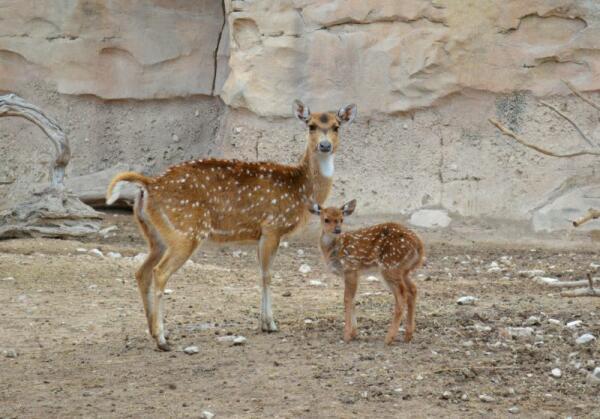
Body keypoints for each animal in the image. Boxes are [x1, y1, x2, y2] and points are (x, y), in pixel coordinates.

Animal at [106, 100, 356, 350]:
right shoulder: (273, 226)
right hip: (186, 232)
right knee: (160, 272)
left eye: (336, 126)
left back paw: (152, 331)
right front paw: (270, 324)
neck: (300, 188)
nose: (325, 145)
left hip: (156, 236)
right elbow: (267, 275)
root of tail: (149, 185)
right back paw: (162, 339)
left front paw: (264, 323)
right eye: (311, 125)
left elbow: (261, 273)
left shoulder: (261, 234)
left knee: (142, 272)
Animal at [312, 200, 424, 344]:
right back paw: (408, 335)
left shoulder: (351, 268)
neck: (333, 249)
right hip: (403, 270)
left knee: (401, 295)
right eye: (326, 219)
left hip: (390, 266)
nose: (337, 230)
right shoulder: (352, 273)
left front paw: (347, 335)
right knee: (413, 289)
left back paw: (389, 338)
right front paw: (354, 333)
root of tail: (419, 246)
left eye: (341, 219)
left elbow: (347, 299)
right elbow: (353, 299)